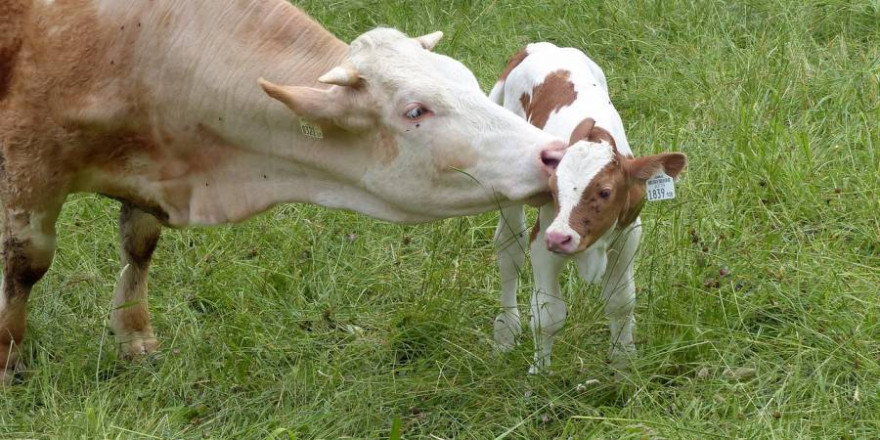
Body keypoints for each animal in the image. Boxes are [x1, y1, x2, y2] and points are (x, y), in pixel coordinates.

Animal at [0, 0, 564, 382]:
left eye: (465, 78)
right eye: (415, 111)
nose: (553, 153)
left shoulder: (148, 174)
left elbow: (139, 246)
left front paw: (134, 336)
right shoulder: (28, 159)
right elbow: (28, 262)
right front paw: (8, 355)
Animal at [488, 43, 688, 374]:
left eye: (605, 192)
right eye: (553, 188)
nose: (560, 238)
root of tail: (539, 46)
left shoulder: (627, 234)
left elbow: (620, 302)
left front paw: (623, 363)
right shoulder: (544, 239)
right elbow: (547, 315)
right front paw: (539, 373)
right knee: (509, 248)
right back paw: (505, 331)